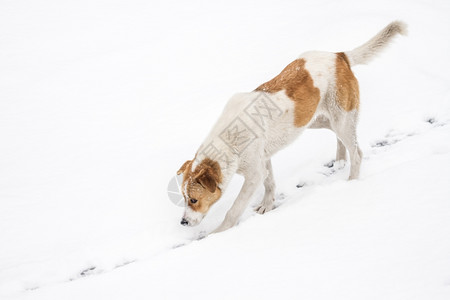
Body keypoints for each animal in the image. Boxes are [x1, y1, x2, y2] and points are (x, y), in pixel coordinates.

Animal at [177, 21, 408, 233]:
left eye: (194, 200)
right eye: (183, 197)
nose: (183, 222)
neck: (229, 142)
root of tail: (340, 56)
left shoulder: (254, 174)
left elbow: (234, 209)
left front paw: (219, 233)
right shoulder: (264, 159)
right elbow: (270, 183)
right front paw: (267, 206)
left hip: (341, 119)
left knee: (357, 152)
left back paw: (351, 181)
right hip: (318, 120)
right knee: (341, 140)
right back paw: (341, 162)